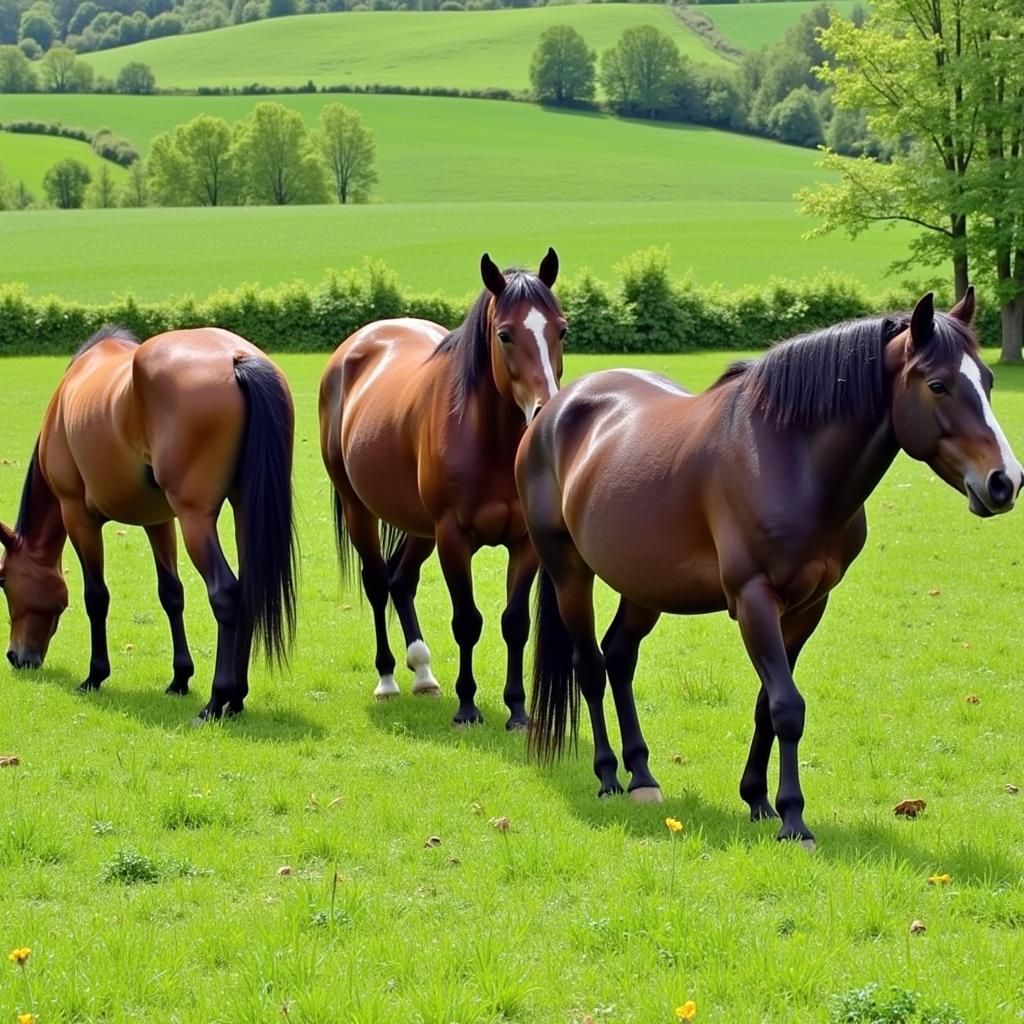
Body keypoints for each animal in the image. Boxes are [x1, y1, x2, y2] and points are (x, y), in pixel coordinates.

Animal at [0, 327, 296, 720]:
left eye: (2, 581)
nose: (16, 656)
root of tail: (236, 358)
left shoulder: (77, 514)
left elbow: (96, 596)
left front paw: (95, 676)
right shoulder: (159, 521)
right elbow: (171, 594)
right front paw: (180, 678)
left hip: (195, 519)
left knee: (226, 593)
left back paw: (216, 700)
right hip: (243, 509)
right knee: (247, 589)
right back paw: (236, 699)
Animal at [317, 248, 565, 729]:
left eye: (561, 329)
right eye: (505, 335)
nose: (545, 410)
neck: (490, 442)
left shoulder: (523, 543)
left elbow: (515, 623)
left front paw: (517, 711)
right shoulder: (453, 536)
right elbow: (467, 621)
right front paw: (467, 707)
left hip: (420, 528)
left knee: (402, 579)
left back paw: (423, 674)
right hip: (361, 511)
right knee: (378, 582)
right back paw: (388, 680)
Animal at [516, 290, 1019, 847]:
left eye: (988, 381)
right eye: (937, 385)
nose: (1005, 481)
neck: (792, 461)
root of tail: (554, 410)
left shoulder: (807, 606)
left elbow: (767, 705)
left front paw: (758, 800)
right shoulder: (754, 599)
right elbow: (787, 707)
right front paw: (794, 818)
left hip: (644, 587)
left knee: (620, 657)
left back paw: (643, 776)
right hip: (569, 573)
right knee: (590, 665)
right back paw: (607, 775)